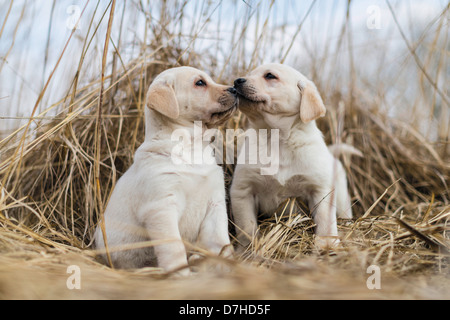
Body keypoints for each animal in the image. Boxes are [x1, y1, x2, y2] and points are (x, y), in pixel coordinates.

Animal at [93, 66, 237, 274]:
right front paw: (182, 276)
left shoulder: (215, 205)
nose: (234, 89)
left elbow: (220, 242)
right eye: (200, 83)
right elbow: (174, 249)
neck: (191, 148)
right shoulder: (162, 207)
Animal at [230, 63, 356, 250]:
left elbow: (325, 219)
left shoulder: (320, 189)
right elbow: (246, 226)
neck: (277, 139)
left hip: (341, 198)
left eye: (270, 76)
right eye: (249, 74)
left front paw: (326, 243)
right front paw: (248, 248)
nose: (237, 81)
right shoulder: (242, 190)